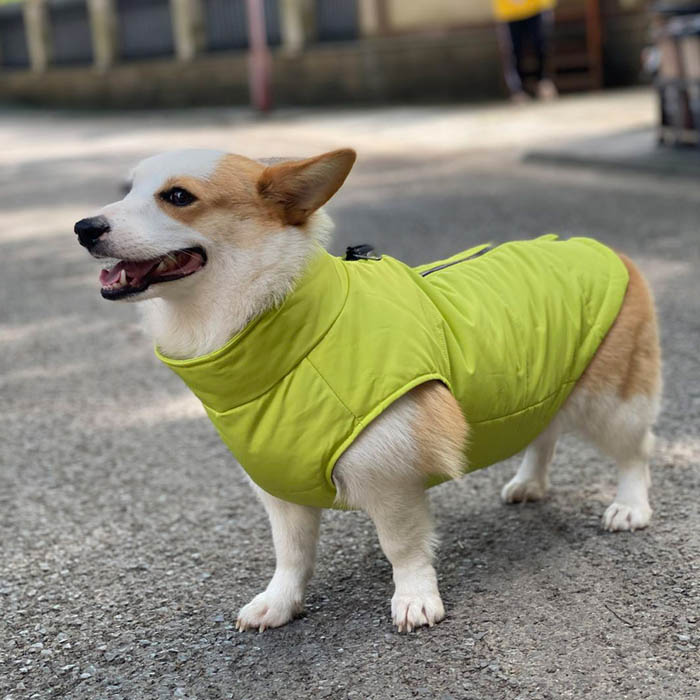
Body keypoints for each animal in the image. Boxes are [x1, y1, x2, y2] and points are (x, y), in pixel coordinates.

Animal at [75, 148, 660, 636]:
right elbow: (291, 556)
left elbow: (402, 546)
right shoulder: (279, 488)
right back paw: (529, 483)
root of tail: (604, 250)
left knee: (634, 454)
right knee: (544, 432)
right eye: (127, 187)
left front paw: (416, 600)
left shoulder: (390, 477)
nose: (83, 227)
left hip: (612, 403)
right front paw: (279, 605)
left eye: (178, 197)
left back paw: (629, 507)